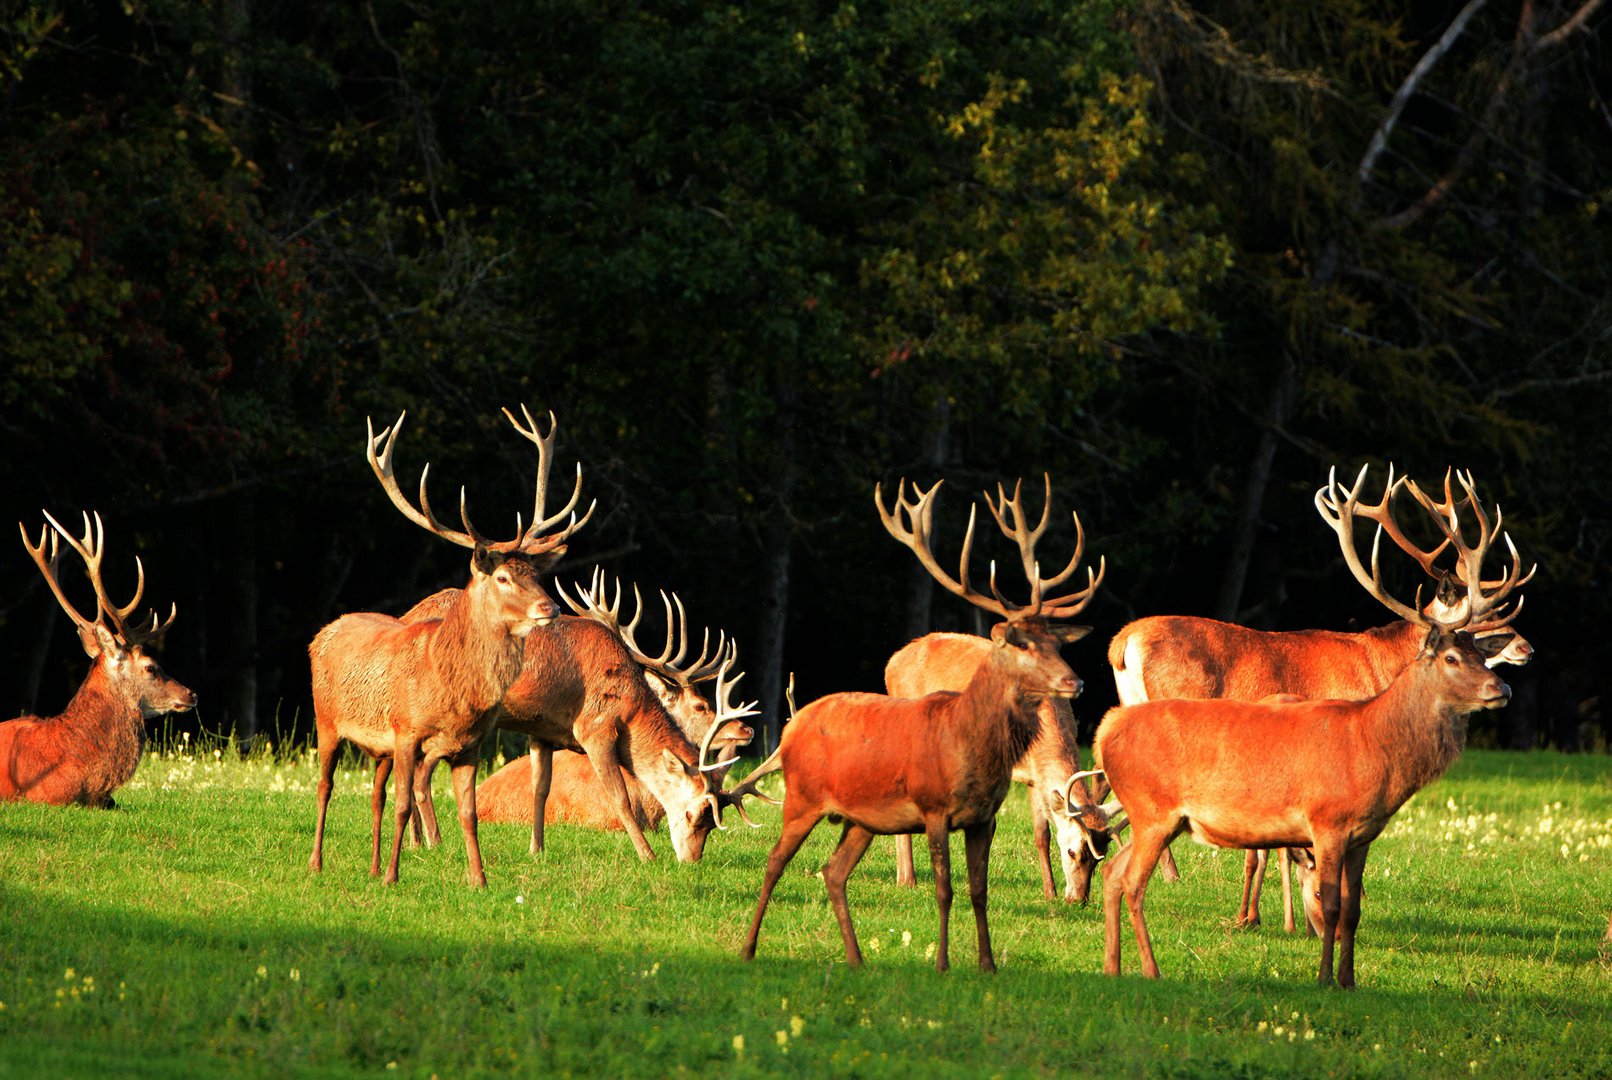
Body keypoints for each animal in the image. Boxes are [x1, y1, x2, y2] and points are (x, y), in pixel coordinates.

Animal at [304, 406, 589, 889]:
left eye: (534, 572)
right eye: (503, 577)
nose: (549, 607)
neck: (452, 691)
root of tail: (323, 631)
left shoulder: (470, 744)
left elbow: (469, 814)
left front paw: (479, 880)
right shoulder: (406, 731)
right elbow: (405, 804)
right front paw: (394, 878)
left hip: (377, 748)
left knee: (375, 794)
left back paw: (372, 865)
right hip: (326, 719)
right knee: (326, 787)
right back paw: (318, 863)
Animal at [741, 477, 1109, 980]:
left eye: (1056, 642)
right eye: (1022, 643)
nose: (1076, 681)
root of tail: (795, 726)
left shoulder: (985, 817)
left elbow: (979, 891)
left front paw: (988, 964)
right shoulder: (936, 809)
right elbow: (946, 889)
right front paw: (942, 963)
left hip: (859, 820)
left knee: (833, 871)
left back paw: (856, 958)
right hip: (801, 798)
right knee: (775, 862)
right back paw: (749, 948)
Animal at [1096, 464, 1521, 992]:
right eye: (1475, 638)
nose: (1519, 656)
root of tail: (1120, 643)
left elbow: (1328, 888)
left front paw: (1331, 962)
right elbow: (1307, 875)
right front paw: (1291, 938)